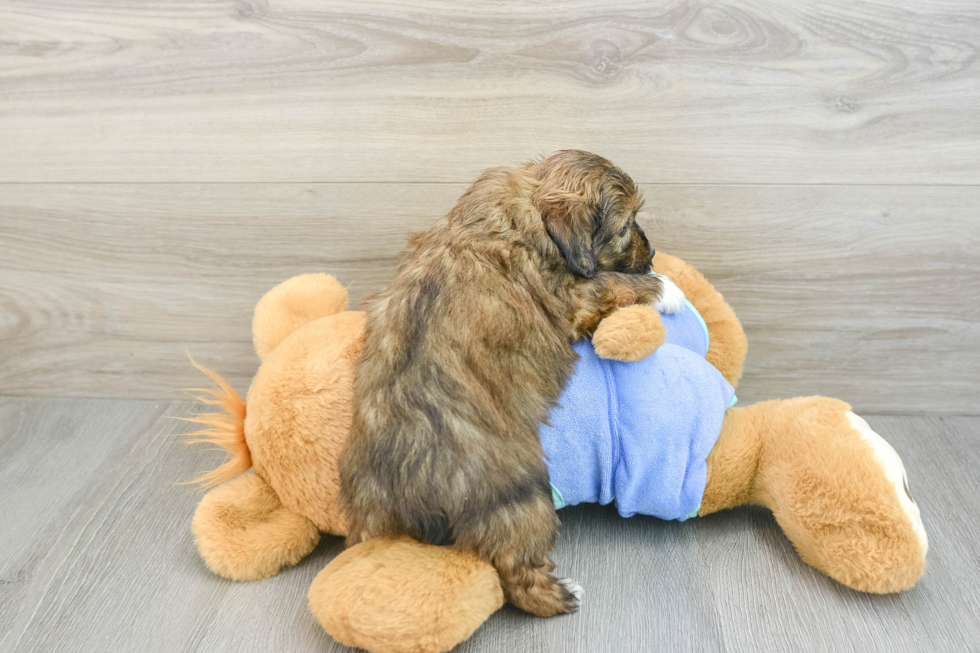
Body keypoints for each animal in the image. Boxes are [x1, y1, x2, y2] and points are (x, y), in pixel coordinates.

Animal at [336, 152, 668, 616]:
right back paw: (562, 594)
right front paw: (664, 289)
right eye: (624, 227)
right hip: (520, 495)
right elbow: (612, 284)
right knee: (515, 569)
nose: (652, 252)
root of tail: (398, 485)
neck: (525, 211)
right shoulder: (571, 297)